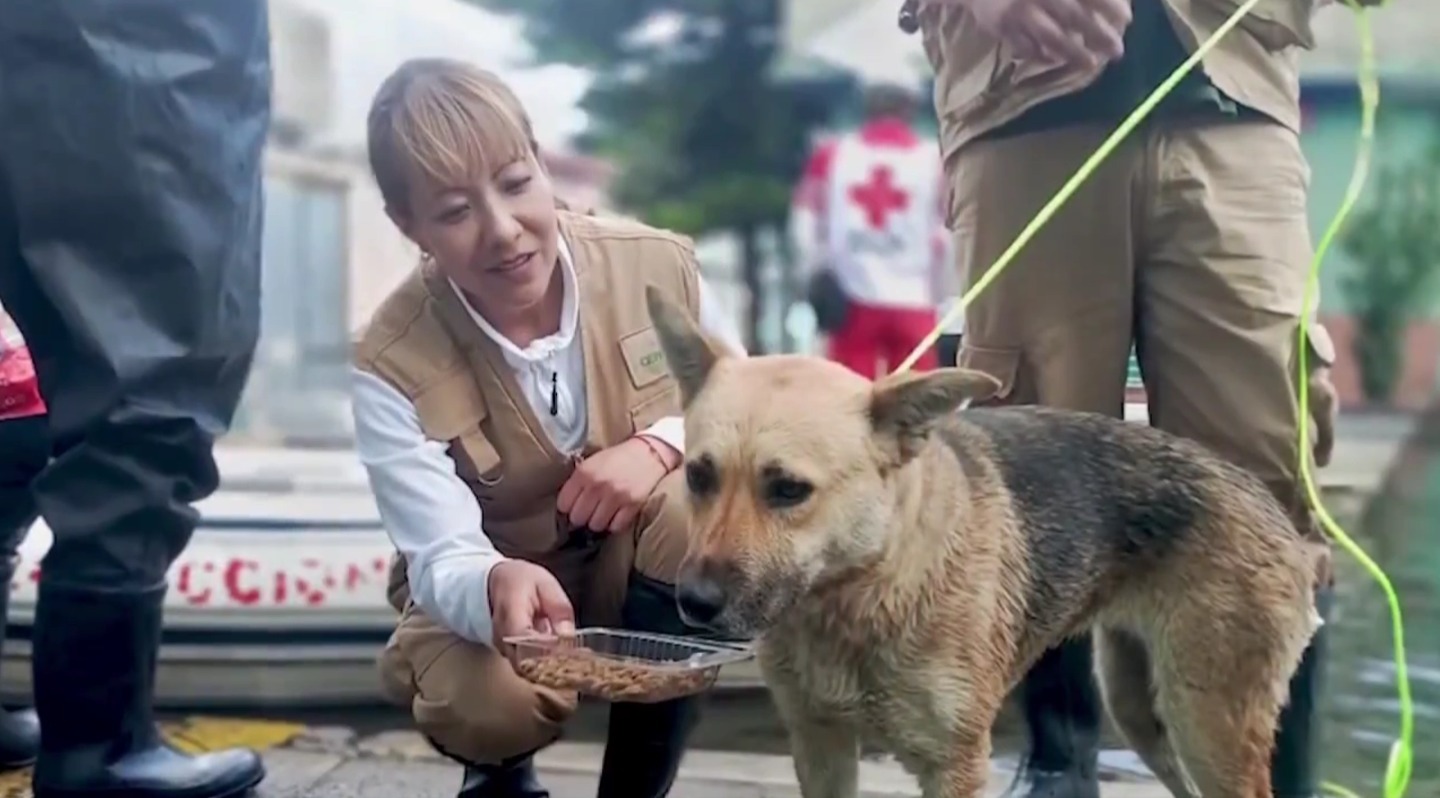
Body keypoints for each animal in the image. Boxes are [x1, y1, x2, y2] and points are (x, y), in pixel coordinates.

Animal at [648, 286, 1319, 795]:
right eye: (698, 475)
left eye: (788, 490)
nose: (694, 604)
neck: (865, 587)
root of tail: (1272, 509)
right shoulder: (821, 746)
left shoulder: (953, 765)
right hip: (1142, 712)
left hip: (1207, 727)